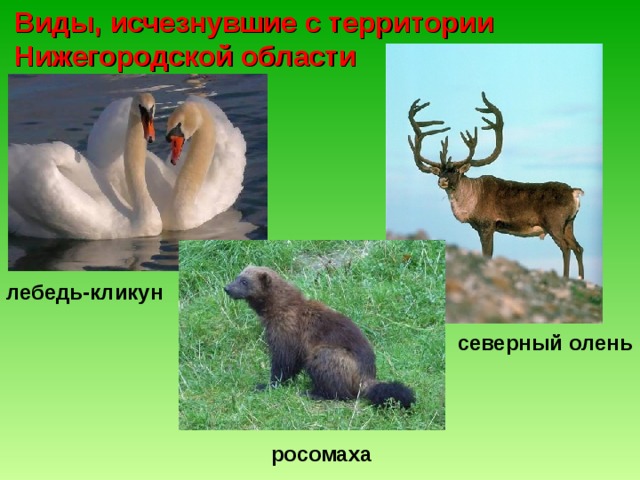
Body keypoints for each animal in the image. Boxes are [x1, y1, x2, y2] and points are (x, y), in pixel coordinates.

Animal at [407, 92, 584, 279]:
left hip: (554, 223)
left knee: (566, 247)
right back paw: (580, 278)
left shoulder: (487, 225)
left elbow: (487, 255)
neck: (471, 201)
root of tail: (574, 192)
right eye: (439, 172)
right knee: (578, 247)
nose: (442, 181)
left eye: (455, 171)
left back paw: (566, 277)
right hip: (569, 224)